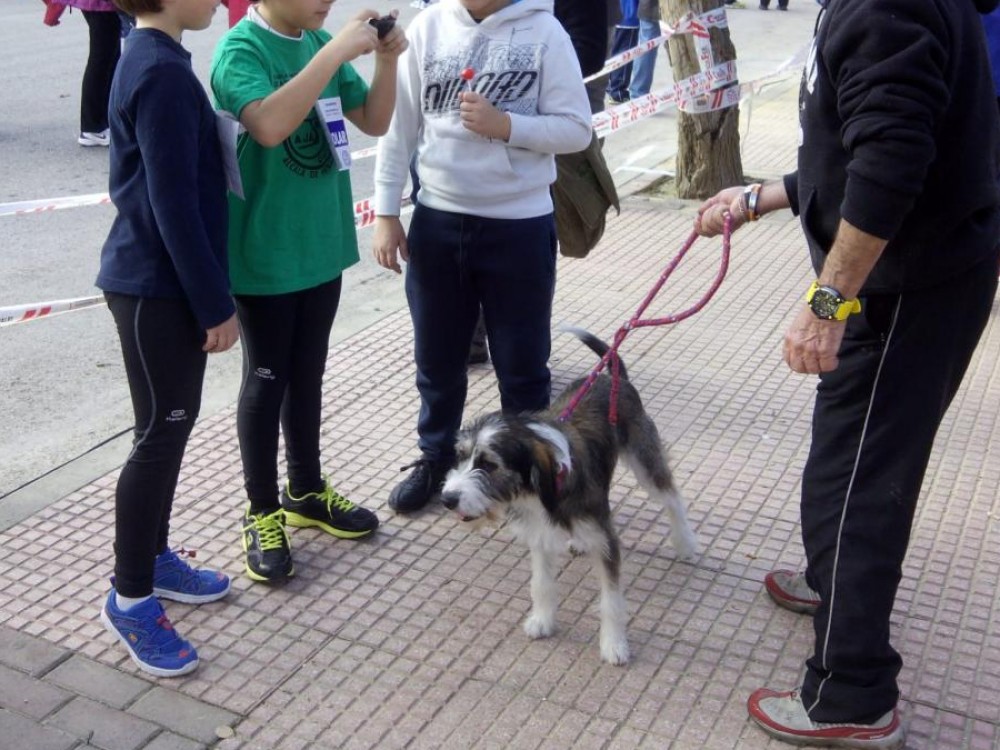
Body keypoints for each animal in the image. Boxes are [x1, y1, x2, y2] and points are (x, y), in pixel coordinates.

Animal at [440, 328, 698, 665]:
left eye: (489, 464)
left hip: (645, 459)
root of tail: (612, 377)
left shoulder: (606, 541)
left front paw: (614, 645)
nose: (447, 499)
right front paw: (543, 620)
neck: (541, 491)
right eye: (460, 456)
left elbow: (611, 602)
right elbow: (541, 584)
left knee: (672, 497)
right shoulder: (539, 533)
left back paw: (686, 543)